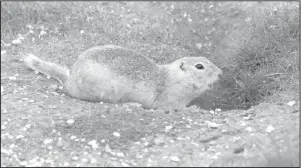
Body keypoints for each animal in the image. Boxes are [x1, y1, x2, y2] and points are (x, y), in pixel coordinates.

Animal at [22, 44, 220, 110]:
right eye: (199, 66)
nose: (220, 73)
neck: (174, 77)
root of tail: (69, 82)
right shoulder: (172, 97)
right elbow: (174, 107)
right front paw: (193, 108)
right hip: (108, 90)